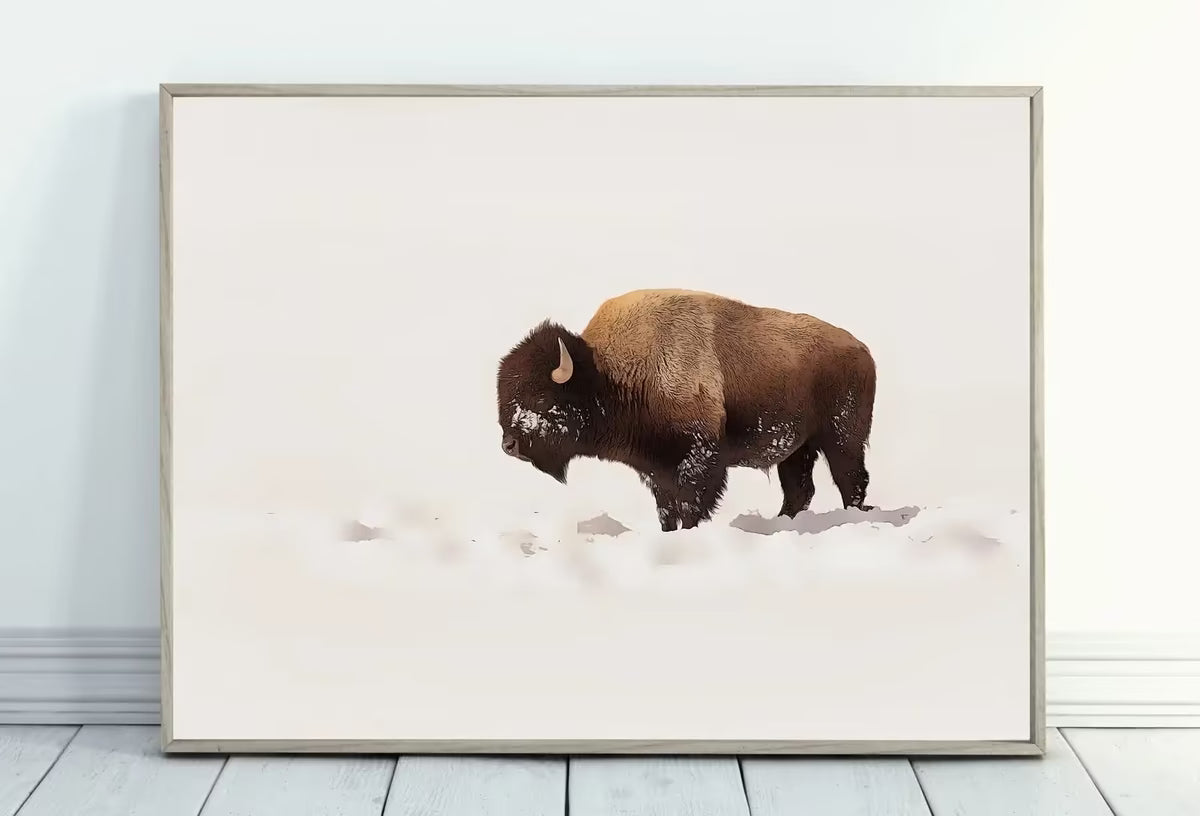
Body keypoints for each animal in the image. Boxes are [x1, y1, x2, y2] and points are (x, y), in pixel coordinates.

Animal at [495, 288, 876, 531]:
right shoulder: (655, 469)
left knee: (851, 480)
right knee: (800, 490)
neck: (608, 373)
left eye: (541, 398)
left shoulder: (699, 459)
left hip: (842, 438)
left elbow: (691, 505)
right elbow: (667, 509)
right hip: (798, 448)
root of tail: (861, 349)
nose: (509, 445)